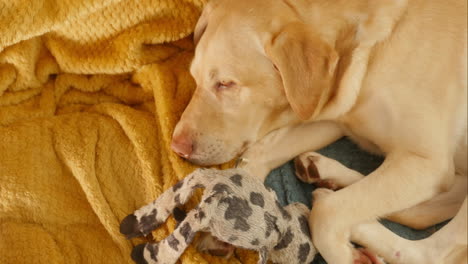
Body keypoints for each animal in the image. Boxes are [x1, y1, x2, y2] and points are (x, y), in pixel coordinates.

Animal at [171, 0, 464, 264]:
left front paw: (346, 257)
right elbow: (259, 154)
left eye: (226, 83)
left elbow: (328, 214)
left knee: (432, 251)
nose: (176, 148)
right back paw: (326, 176)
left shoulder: (426, 163)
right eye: (194, 77)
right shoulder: (332, 114)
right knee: (418, 214)